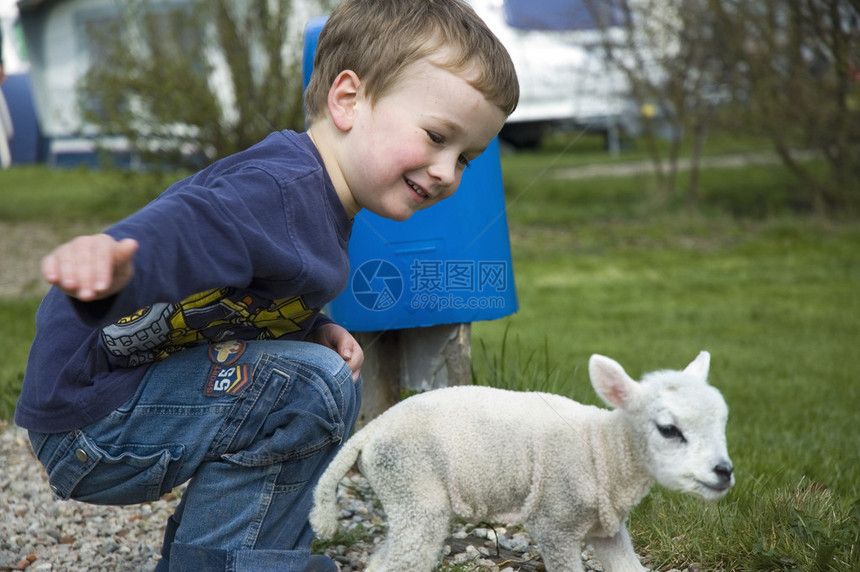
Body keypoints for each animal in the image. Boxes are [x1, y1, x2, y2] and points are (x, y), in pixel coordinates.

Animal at [312, 350, 736, 568]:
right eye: (669, 429)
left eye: (723, 422)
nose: (724, 472)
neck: (603, 449)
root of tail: (371, 430)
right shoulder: (554, 523)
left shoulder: (608, 531)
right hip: (411, 484)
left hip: (411, 501)